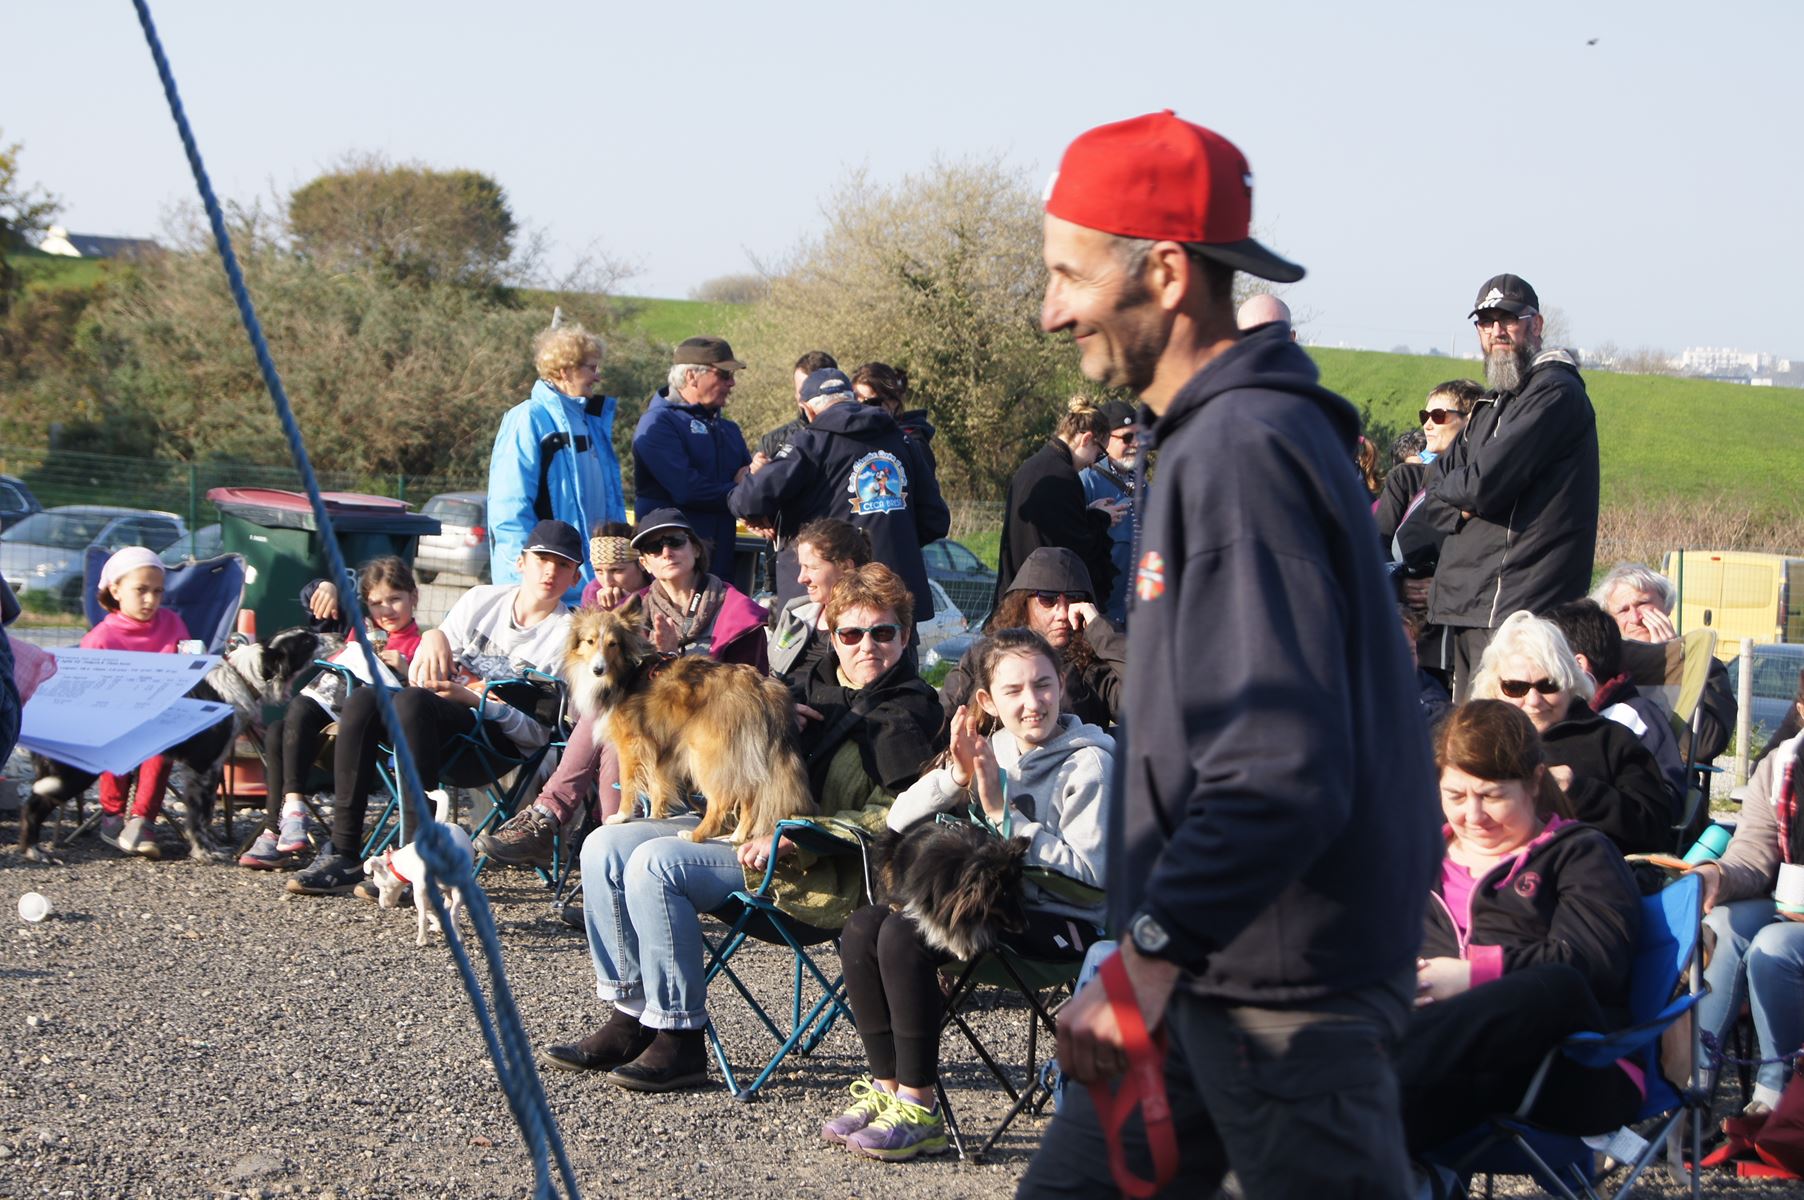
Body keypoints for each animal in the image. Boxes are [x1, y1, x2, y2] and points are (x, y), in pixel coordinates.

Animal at [357, 786, 469, 945]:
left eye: (379, 885)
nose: (382, 906)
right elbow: (435, 910)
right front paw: (439, 923)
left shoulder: (421, 892)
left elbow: (424, 914)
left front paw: (423, 938)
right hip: (453, 887)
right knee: (451, 908)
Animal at [566, 599, 815, 840]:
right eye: (590, 641)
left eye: (613, 643)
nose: (598, 670)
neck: (628, 672)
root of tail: (761, 688)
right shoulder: (656, 748)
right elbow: (657, 786)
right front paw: (656, 816)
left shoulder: (631, 745)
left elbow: (628, 785)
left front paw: (621, 816)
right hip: (742, 759)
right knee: (750, 798)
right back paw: (735, 837)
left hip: (706, 757)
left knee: (720, 802)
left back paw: (695, 835)